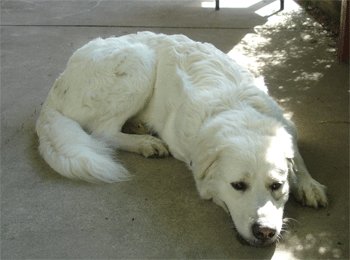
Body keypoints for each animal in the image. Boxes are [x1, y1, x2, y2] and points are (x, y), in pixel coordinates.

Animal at [37, 32, 326, 246]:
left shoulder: (285, 124)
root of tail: (56, 86)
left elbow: (296, 154)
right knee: (103, 131)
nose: (264, 231)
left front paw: (308, 184)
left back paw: (139, 126)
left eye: (277, 186)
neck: (237, 109)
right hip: (139, 62)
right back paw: (146, 142)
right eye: (238, 186)